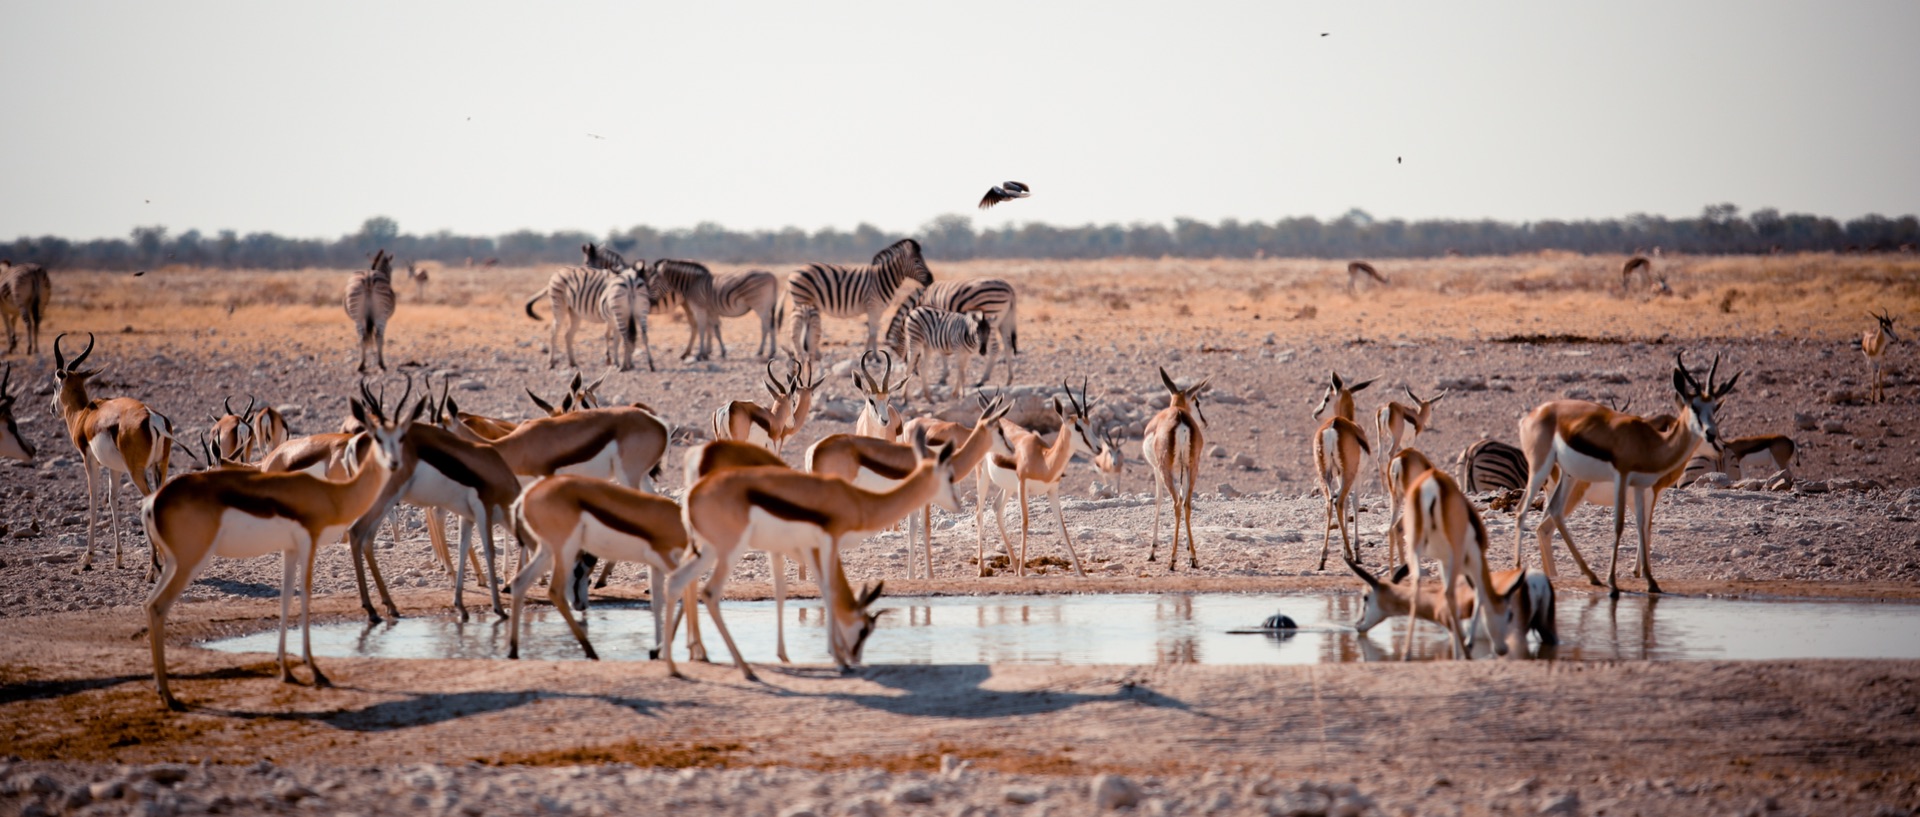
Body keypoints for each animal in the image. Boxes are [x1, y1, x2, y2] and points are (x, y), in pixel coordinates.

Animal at [526, 242, 629, 370]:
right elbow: (614, 336)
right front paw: (615, 361)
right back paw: (551, 363)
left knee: (568, 335)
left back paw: (573, 362)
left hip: (575, 312)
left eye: (586, 262)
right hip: (559, 305)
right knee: (554, 331)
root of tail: (557, 272)